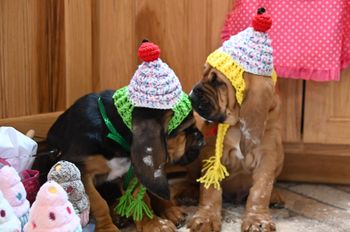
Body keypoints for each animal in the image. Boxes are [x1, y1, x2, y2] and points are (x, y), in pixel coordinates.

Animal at [42, 89, 204, 231]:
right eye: (185, 130)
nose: (202, 141)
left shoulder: (134, 171)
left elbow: (141, 200)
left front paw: (153, 224)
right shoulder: (81, 172)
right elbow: (98, 203)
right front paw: (107, 229)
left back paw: (171, 211)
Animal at [189, 64, 284, 232]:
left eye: (217, 81)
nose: (193, 93)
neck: (238, 124)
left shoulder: (267, 156)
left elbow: (261, 190)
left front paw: (258, 220)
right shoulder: (212, 153)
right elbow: (210, 190)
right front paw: (205, 217)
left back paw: (276, 196)